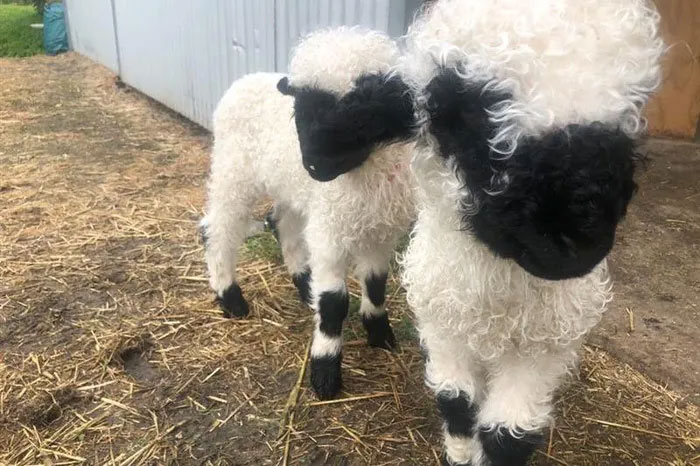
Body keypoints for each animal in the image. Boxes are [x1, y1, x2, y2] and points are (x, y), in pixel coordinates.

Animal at [200, 27, 416, 400]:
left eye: (361, 113)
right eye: (299, 108)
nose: (312, 164)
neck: (367, 173)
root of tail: (242, 81)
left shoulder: (379, 230)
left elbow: (376, 284)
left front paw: (380, 334)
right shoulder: (331, 229)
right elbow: (334, 304)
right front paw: (325, 372)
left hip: (290, 187)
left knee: (283, 224)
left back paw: (304, 286)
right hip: (233, 171)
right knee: (218, 230)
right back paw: (230, 298)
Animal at [397, 1, 664, 464]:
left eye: (631, 112)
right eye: (459, 110)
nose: (572, 244)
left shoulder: (545, 346)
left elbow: (509, 434)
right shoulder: (442, 321)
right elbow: (456, 400)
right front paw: (460, 452)